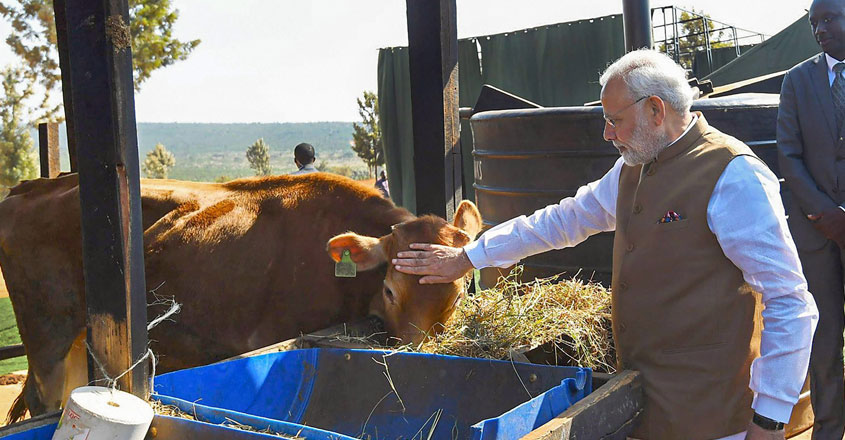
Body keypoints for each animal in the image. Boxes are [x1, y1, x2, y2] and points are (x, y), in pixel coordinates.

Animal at [0, 172, 481, 423]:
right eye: (389, 289)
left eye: (458, 296)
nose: (418, 349)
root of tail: (32, 185)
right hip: (47, 340)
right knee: (45, 402)